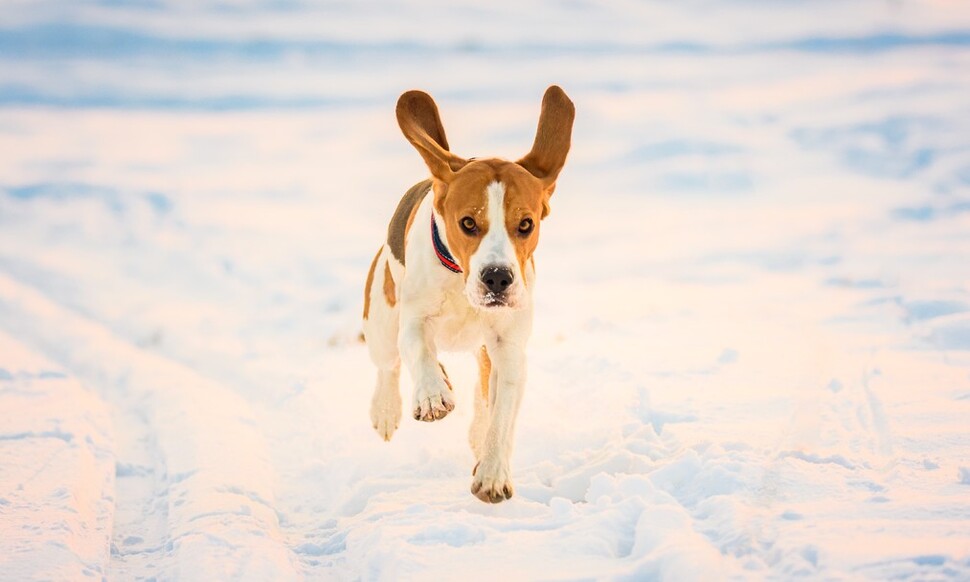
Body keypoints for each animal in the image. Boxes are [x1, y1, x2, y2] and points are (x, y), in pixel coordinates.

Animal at [364, 84, 576, 504]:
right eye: (467, 223)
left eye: (526, 224)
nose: (497, 278)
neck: (461, 284)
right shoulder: (413, 321)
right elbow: (419, 351)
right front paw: (432, 395)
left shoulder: (508, 349)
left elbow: (501, 413)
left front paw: (493, 471)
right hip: (380, 319)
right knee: (389, 364)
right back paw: (388, 409)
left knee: (481, 396)